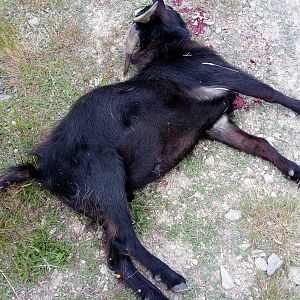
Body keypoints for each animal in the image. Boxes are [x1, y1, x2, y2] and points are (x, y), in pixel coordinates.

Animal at [0, 1, 298, 298]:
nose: (165, 5)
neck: (170, 51)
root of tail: (43, 170)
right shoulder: (220, 75)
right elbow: (271, 93)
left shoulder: (216, 124)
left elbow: (259, 143)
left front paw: (294, 171)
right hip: (107, 182)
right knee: (127, 240)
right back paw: (169, 276)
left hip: (100, 205)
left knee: (117, 258)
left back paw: (153, 292)